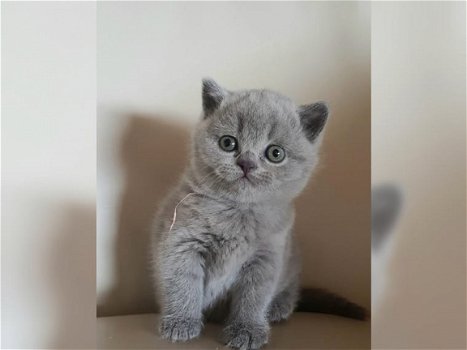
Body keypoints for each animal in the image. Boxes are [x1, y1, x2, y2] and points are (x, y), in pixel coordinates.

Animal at [152, 79, 368, 350]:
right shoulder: (181, 241)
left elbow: (254, 297)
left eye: (275, 153)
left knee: (292, 289)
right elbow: (183, 283)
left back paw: (279, 308)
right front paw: (181, 322)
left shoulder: (267, 256)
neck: (238, 212)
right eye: (228, 143)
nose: (247, 163)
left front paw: (247, 330)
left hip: (292, 261)